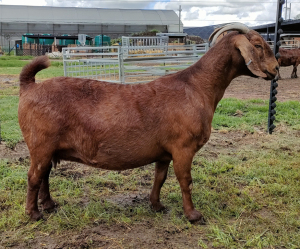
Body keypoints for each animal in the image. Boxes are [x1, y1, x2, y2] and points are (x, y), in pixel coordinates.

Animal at [17, 25, 278, 224]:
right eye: (257, 45)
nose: (276, 69)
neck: (196, 86)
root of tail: (29, 86)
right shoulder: (183, 148)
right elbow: (185, 180)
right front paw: (193, 215)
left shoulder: (164, 152)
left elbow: (160, 177)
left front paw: (157, 205)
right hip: (41, 144)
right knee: (34, 176)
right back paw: (34, 214)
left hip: (49, 147)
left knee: (44, 174)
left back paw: (49, 204)